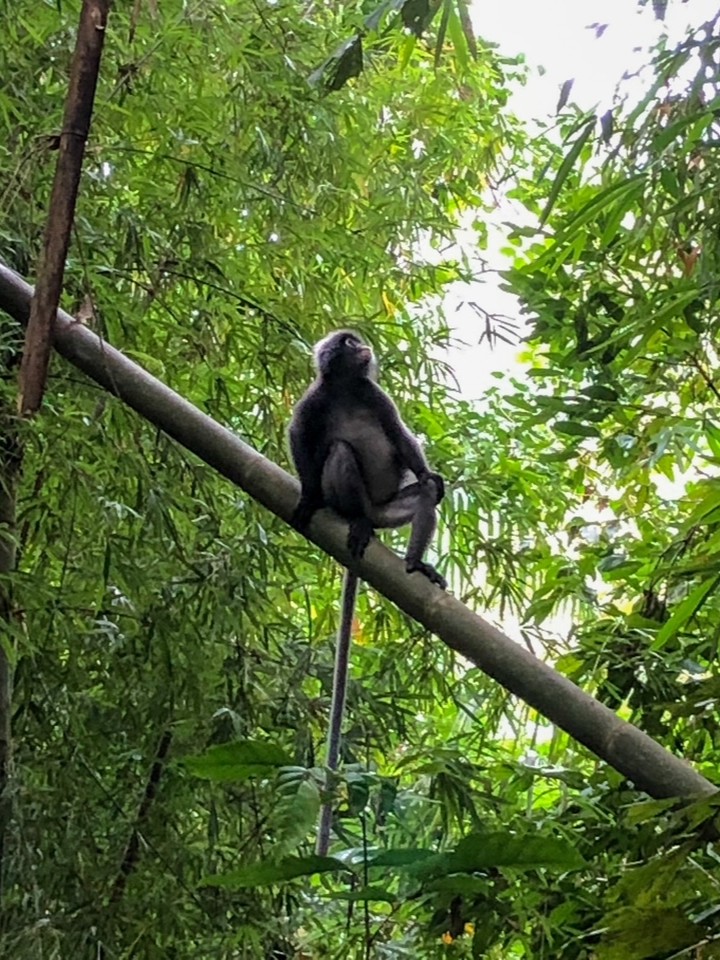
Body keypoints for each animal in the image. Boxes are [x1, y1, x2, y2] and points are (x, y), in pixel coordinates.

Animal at [289, 329, 446, 854]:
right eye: (347, 342)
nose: (363, 348)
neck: (345, 391)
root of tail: (375, 514)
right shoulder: (312, 402)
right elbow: (300, 443)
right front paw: (306, 497)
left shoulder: (375, 396)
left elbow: (403, 442)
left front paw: (428, 473)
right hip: (356, 498)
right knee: (339, 451)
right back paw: (352, 519)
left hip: (391, 506)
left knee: (424, 495)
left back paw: (415, 563)